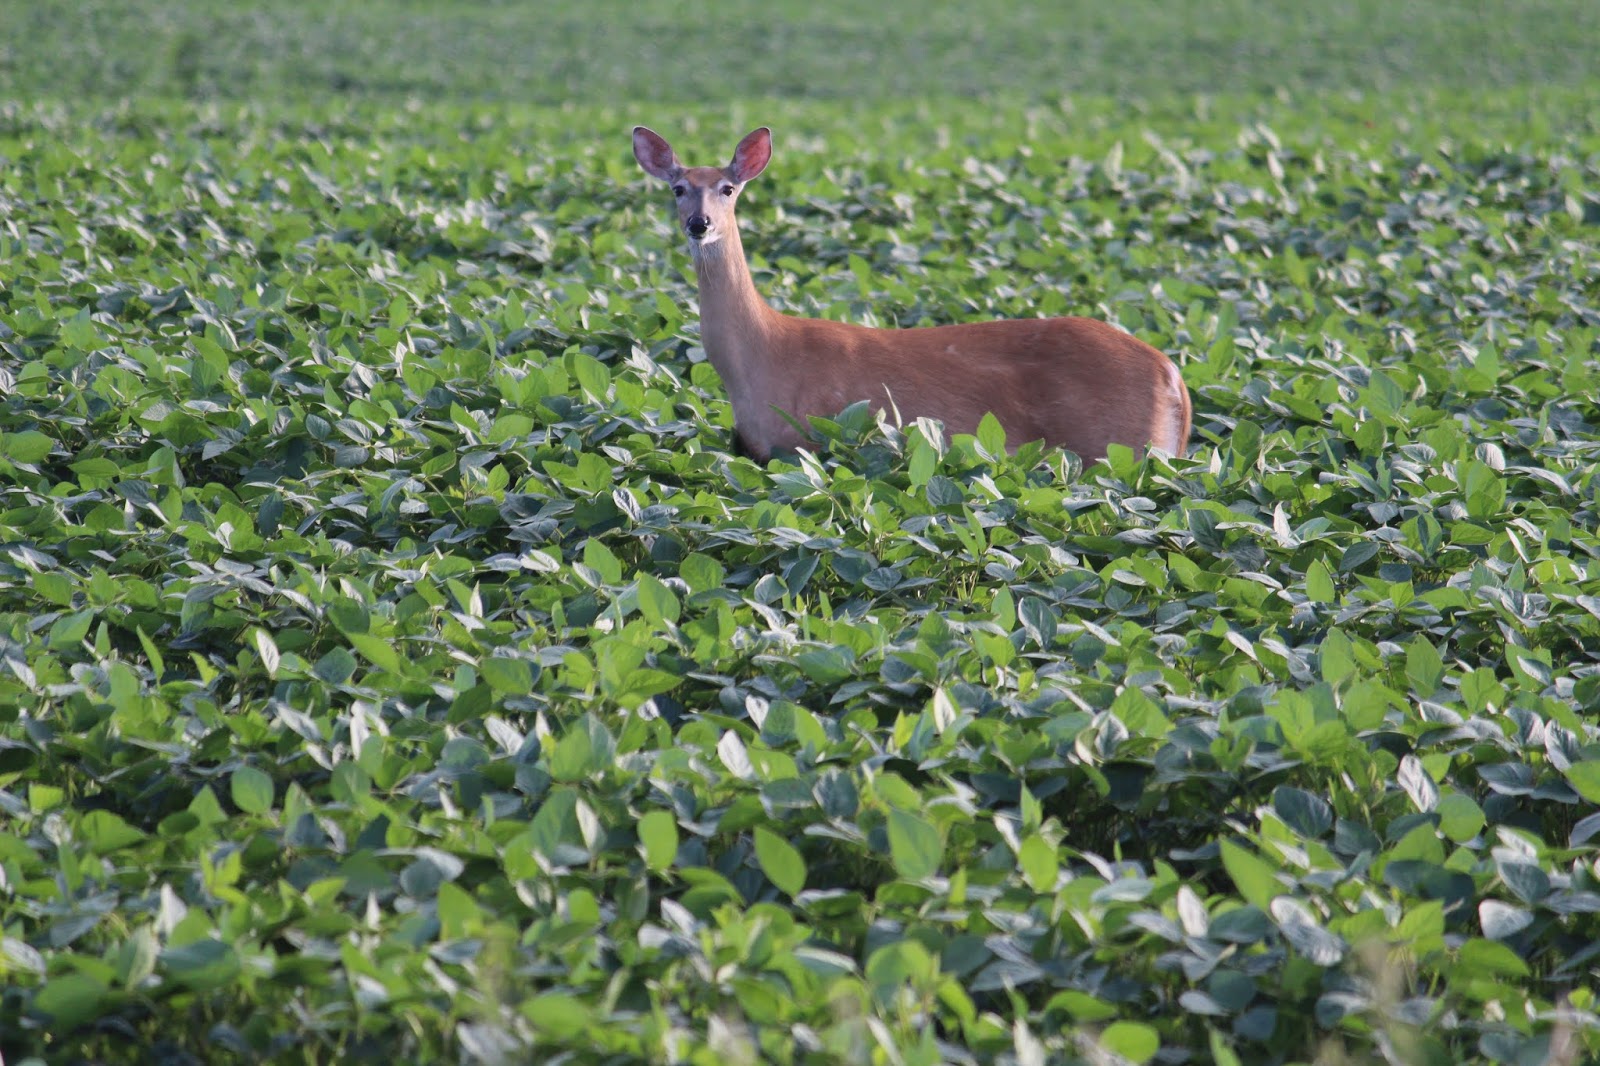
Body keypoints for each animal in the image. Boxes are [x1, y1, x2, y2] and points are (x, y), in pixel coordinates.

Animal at [632, 125, 1192, 465]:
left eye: (728, 189)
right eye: (678, 188)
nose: (700, 224)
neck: (760, 356)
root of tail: (1174, 377)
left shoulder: (813, 439)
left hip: (1118, 448)